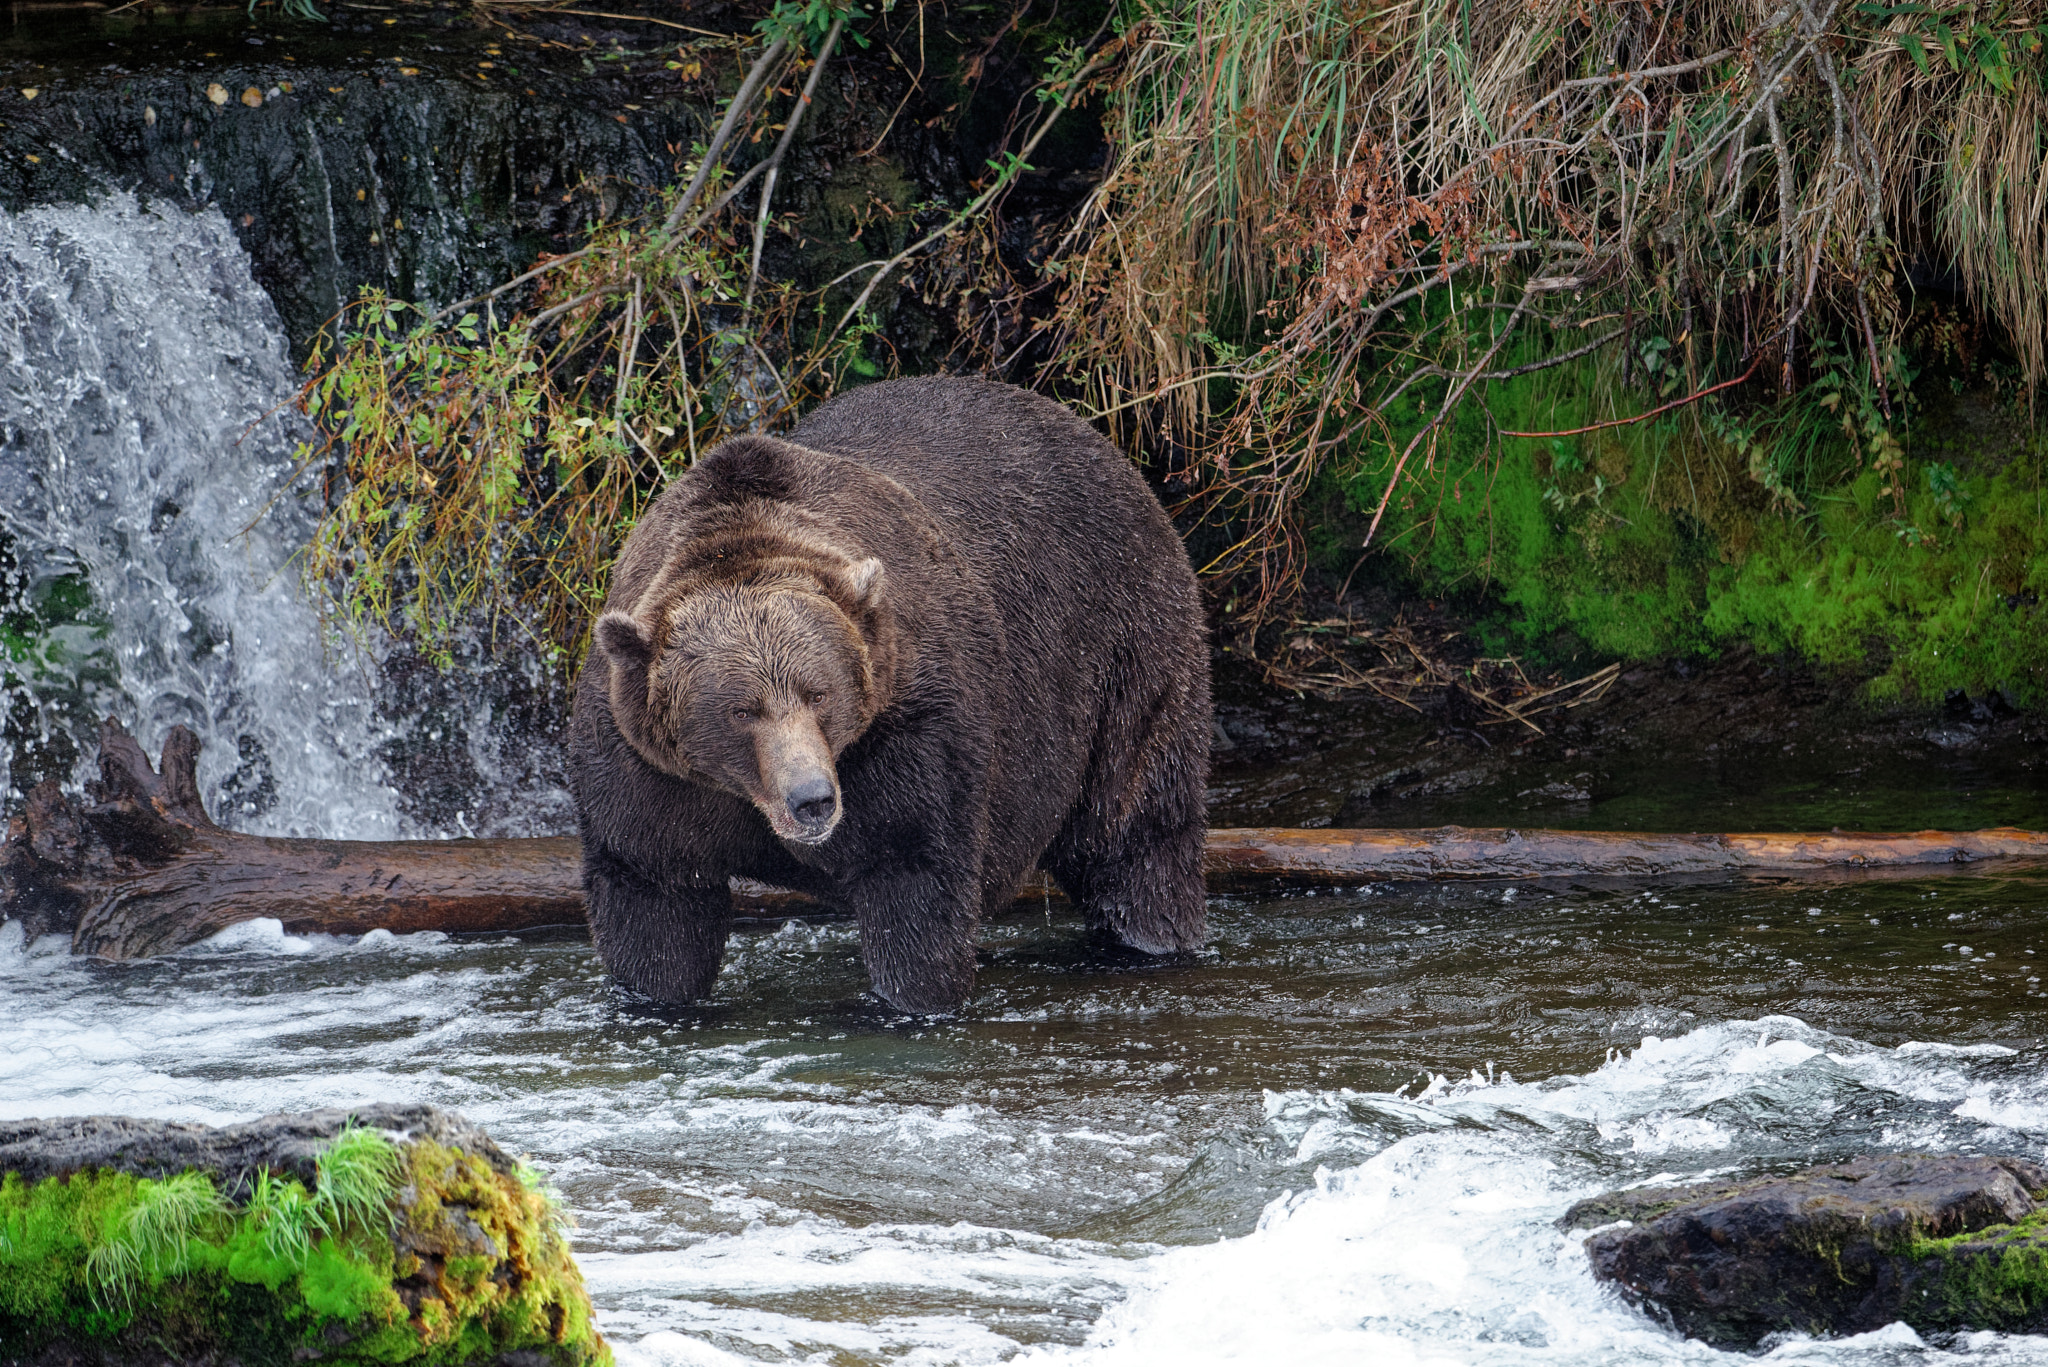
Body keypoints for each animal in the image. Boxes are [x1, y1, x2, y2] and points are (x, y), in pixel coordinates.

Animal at [569, 368, 1204, 1012]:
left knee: (1135, 829)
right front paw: (655, 996)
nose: (812, 799)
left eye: (818, 692)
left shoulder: (907, 731)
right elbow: (654, 904)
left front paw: (909, 1000)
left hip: (1123, 645)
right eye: (741, 710)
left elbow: (914, 880)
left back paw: (1146, 940)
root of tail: (1101, 442)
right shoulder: (646, 771)